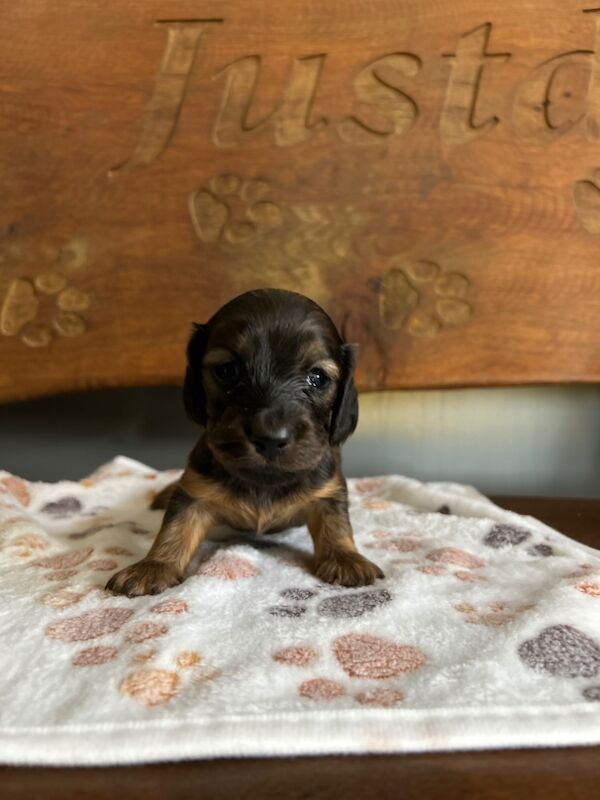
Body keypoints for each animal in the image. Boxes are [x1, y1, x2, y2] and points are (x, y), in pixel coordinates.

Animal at [105, 290, 382, 596]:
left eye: (318, 377)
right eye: (227, 370)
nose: (270, 438)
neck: (264, 479)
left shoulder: (328, 490)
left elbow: (336, 524)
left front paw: (346, 558)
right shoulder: (194, 493)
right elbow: (175, 527)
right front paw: (153, 566)